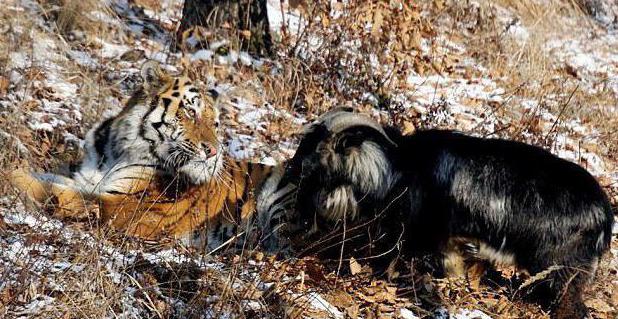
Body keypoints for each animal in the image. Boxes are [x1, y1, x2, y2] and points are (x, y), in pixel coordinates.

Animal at [9, 59, 294, 250]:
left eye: (215, 124)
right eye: (191, 112)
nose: (214, 151)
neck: (117, 151)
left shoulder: (128, 205)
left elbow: (58, 193)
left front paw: (12, 181)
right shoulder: (87, 179)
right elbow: (50, 179)